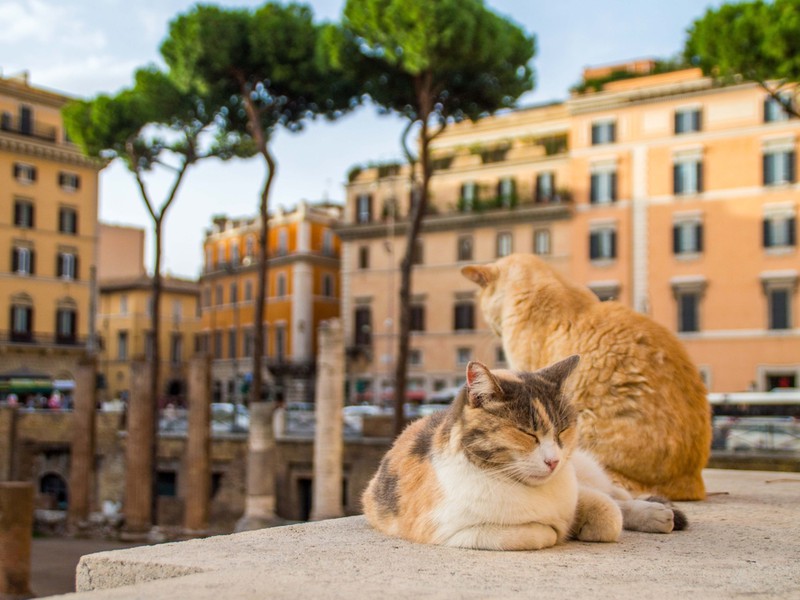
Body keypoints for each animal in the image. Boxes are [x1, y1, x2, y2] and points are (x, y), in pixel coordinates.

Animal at [360, 356, 684, 548]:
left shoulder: (577, 490)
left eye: (562, 431)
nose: (553, 461)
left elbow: (608, 513)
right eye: (527, 433)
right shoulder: (458, 532)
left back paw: (658, 512)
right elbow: (539, 532)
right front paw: (564, 529)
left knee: (617, 494)